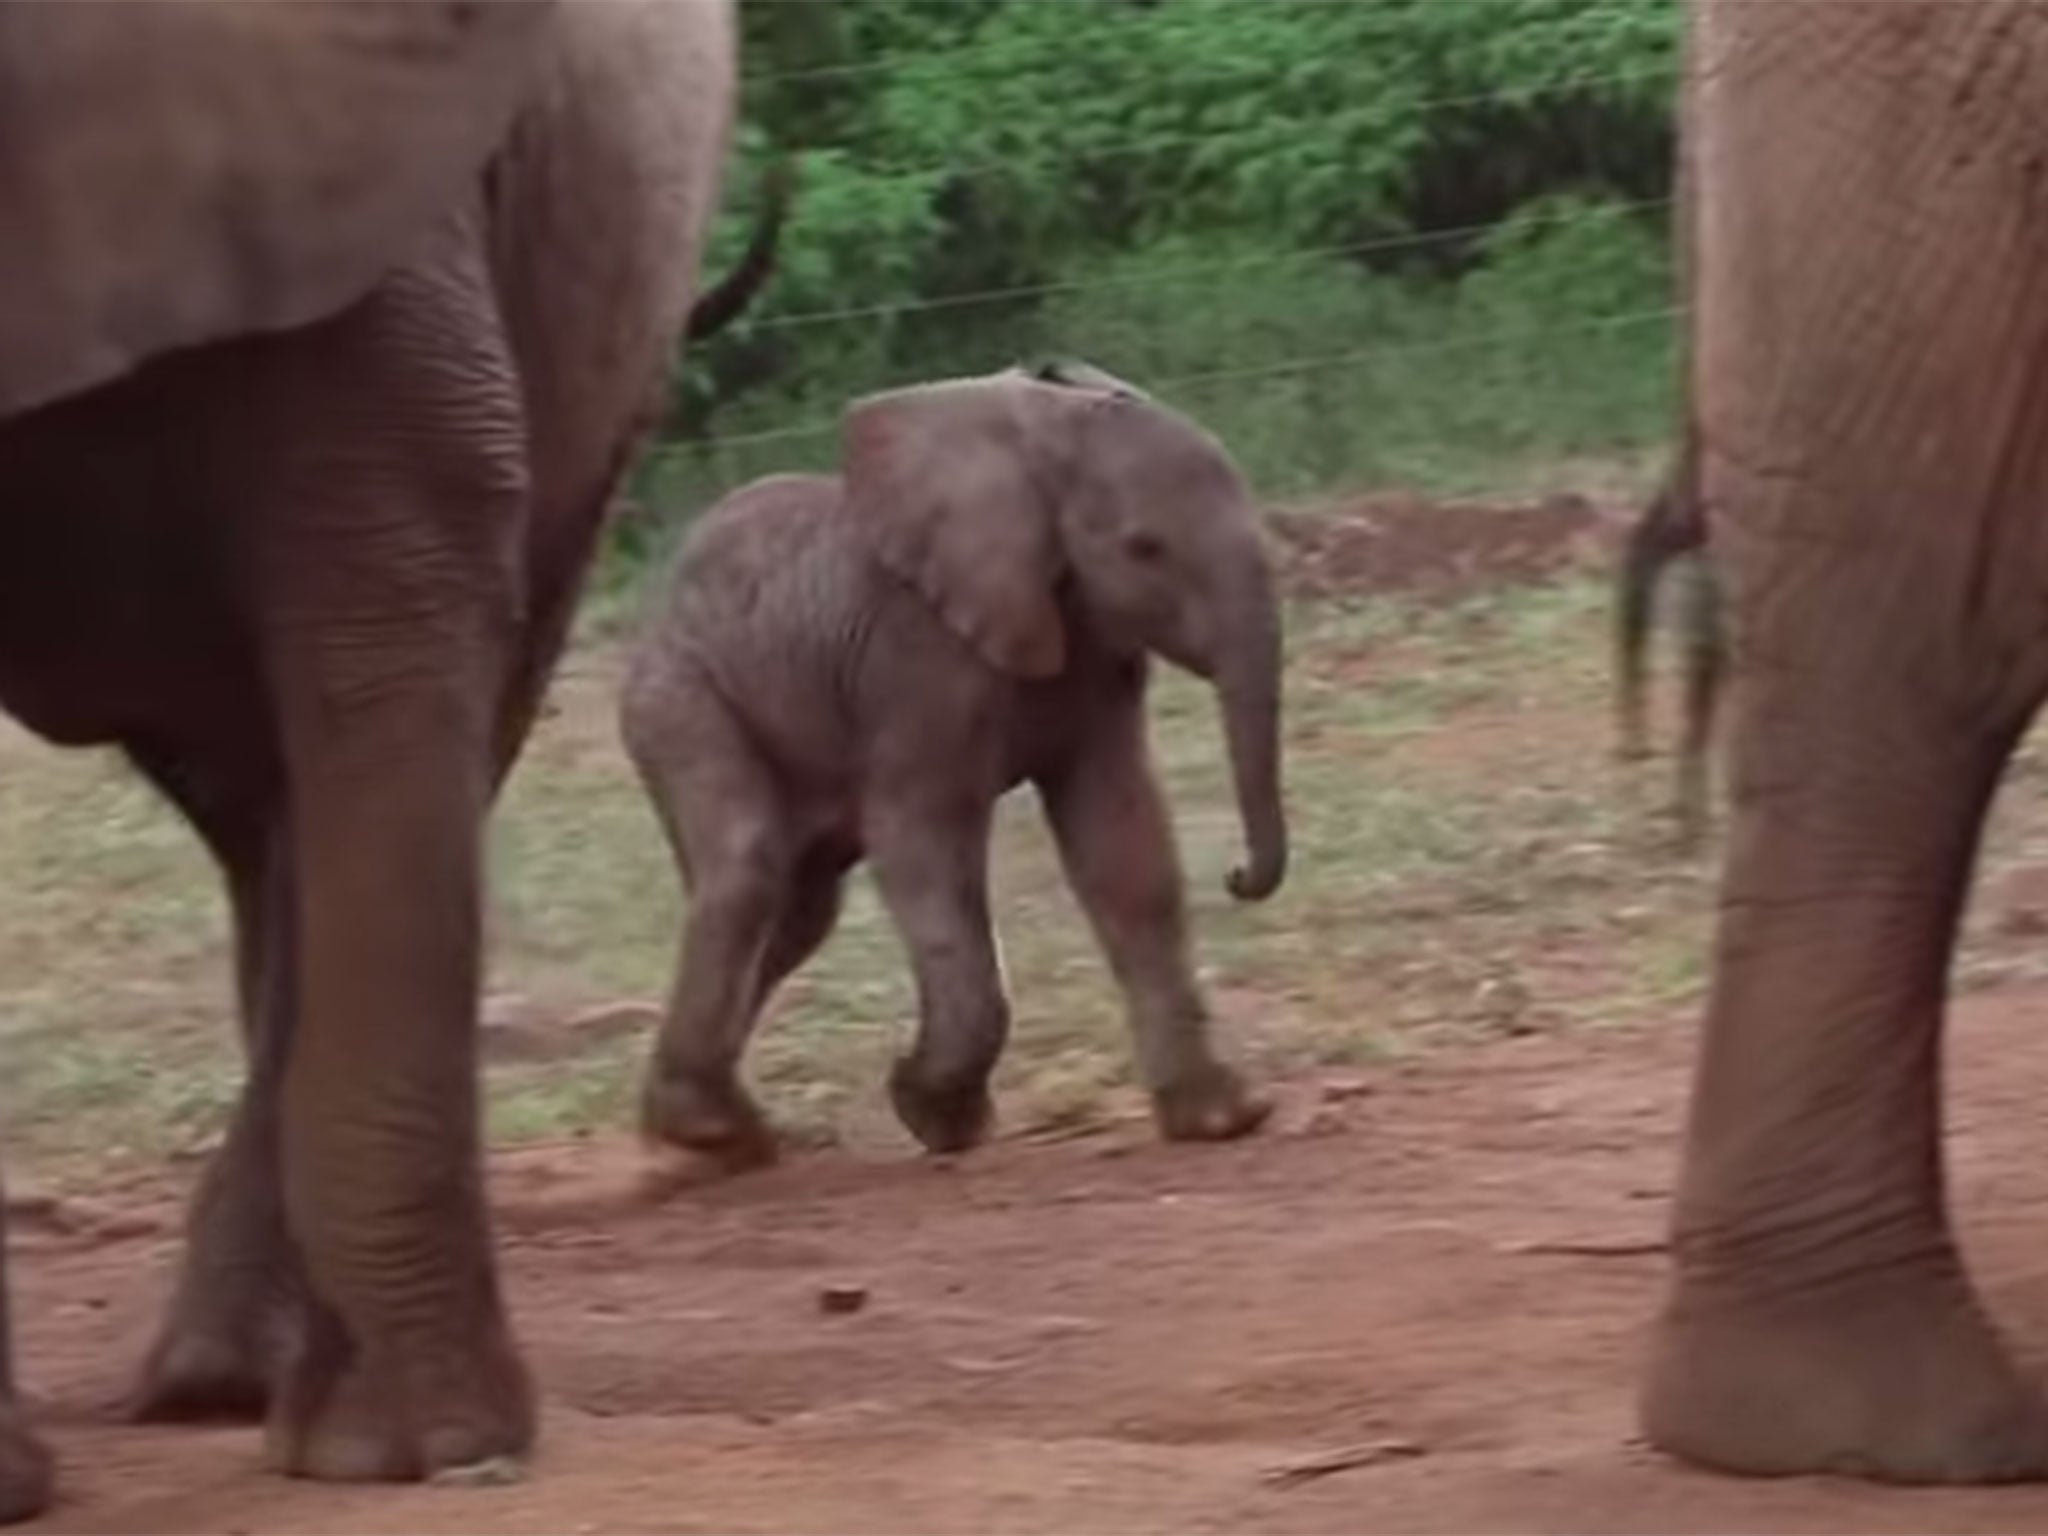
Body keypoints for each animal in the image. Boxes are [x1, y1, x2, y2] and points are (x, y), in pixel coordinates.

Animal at [626, 366, 1294, 1171]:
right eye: (1144, 548)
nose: (1237, 874)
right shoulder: (918, 659)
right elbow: (922, 844)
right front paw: (939, 1117)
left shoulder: (1098, 654)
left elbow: (1125, 850)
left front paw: (1225, 1119)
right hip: (677, 701)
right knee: (746, 869)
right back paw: (711, 1132)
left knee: (798, 910)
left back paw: (714, 1133)